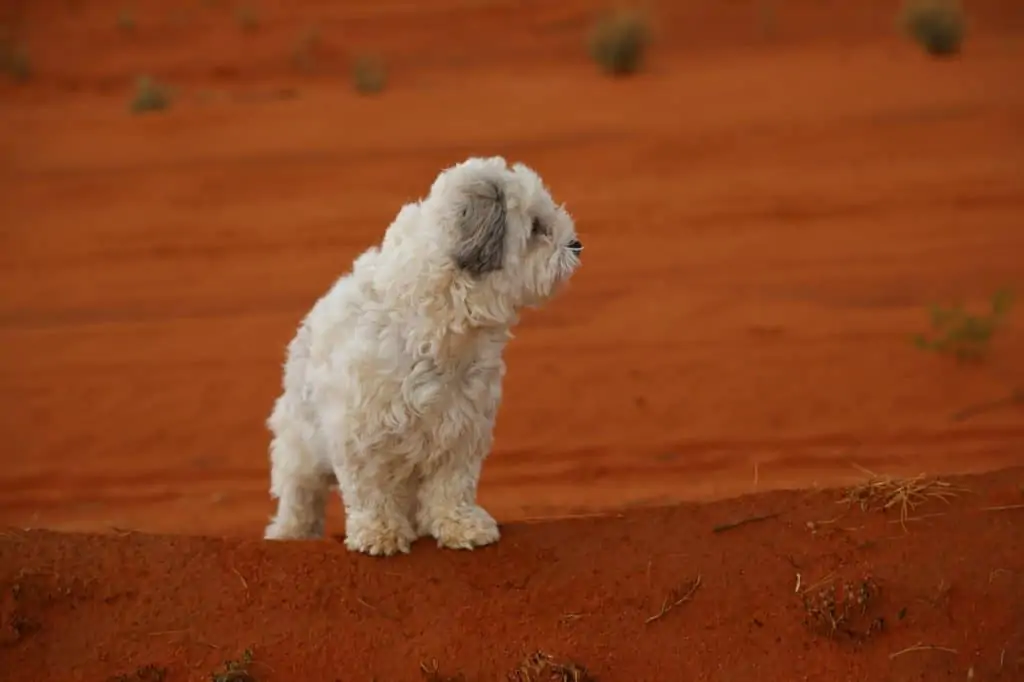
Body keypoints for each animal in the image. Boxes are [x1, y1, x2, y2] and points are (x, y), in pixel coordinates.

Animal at [262, 153, 585, 552]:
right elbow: (371, 491)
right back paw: (290, 533)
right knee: (299, 494)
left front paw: (461, 526)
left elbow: (452, 487)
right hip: (300, 442)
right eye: (538, 226)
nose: (576, 244)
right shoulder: (362, 434)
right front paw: (380, 532)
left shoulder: (461, 428)